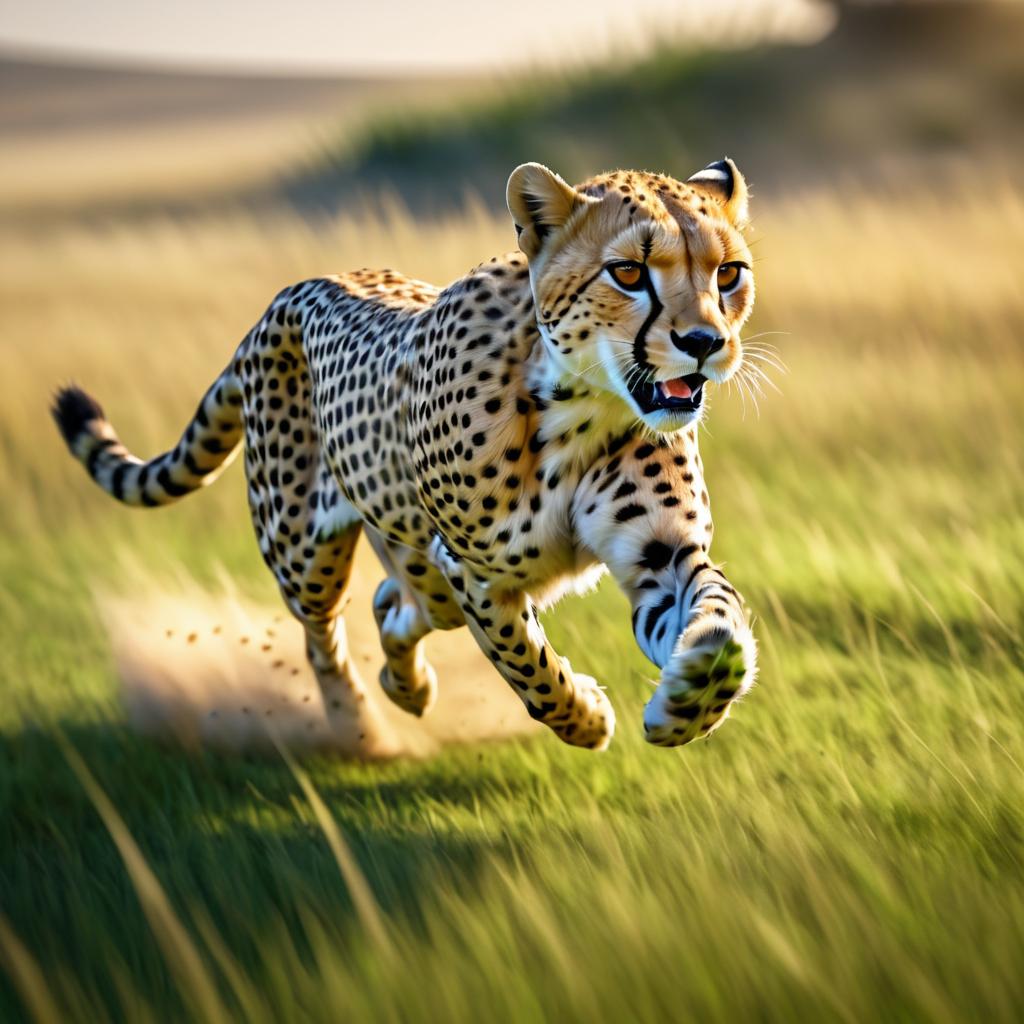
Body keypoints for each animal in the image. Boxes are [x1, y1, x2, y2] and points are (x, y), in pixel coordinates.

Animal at [56, 159, 761, 753]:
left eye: (727, 273)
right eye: (629, 273)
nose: (704, 342)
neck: (581, 405)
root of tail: (288, 295)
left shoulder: (661, 550)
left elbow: (719, 620)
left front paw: (689, 700)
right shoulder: (474, 572)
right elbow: (526, 663)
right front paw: (584, 718)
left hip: (410, 560)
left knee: (394, 604)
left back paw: (408, 688)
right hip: (302, 551)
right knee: (323, 633)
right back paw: (357, 728)